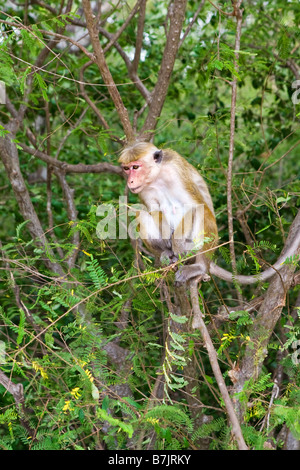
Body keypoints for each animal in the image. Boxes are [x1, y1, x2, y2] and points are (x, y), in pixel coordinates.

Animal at [120, 141, 300, 284]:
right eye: (127, 169)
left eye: (136, 167)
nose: (130, 181)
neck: (157, 176)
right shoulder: (144, 190)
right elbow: (153, 211)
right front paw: (167, 244)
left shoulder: (175, 170)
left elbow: (196, 206)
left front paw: (176, 242)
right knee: (141, 214)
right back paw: (167, 252)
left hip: (197, 246)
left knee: (203, 214)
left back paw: (199, 265)